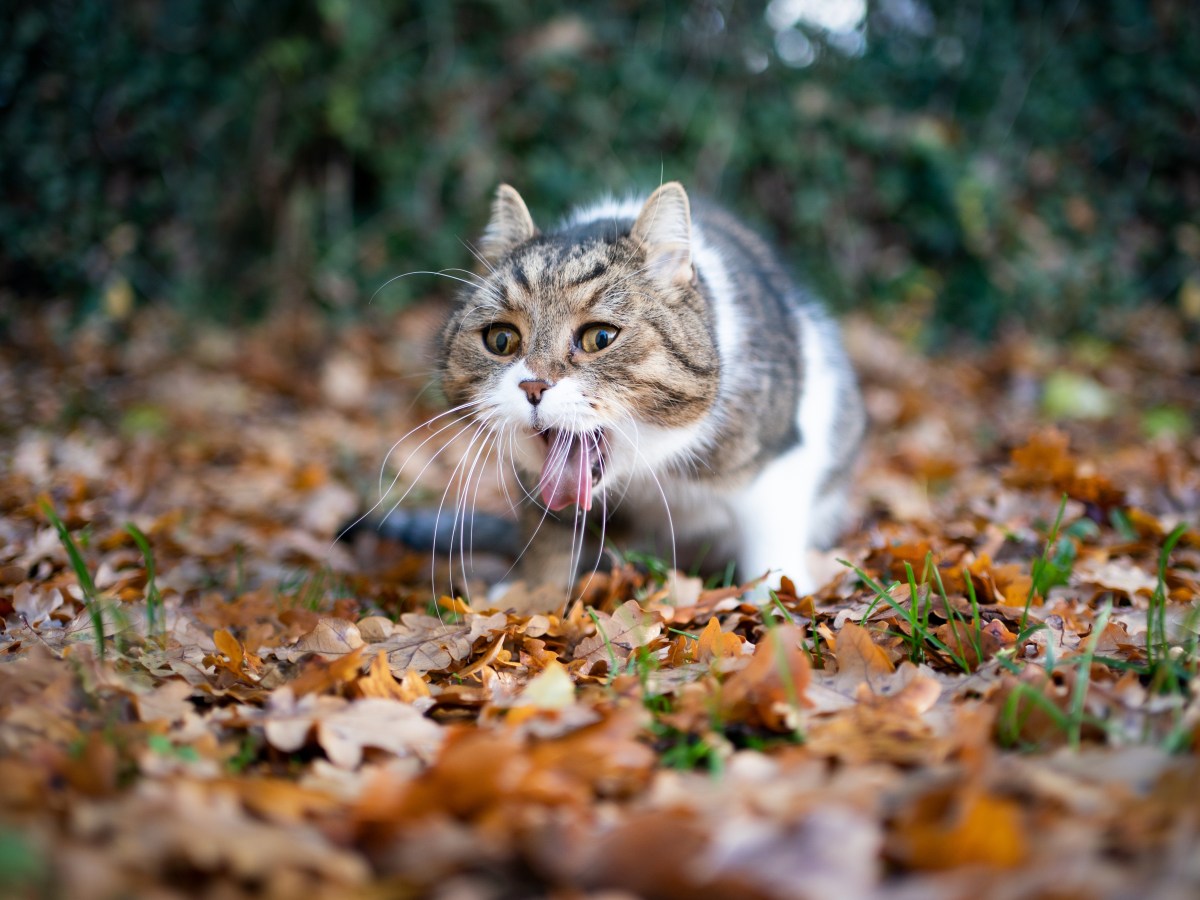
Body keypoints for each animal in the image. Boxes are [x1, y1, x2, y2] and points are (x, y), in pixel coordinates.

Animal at [420, 182, 864, 600]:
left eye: (600, 337)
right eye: (501, 340)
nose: (533, 385)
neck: (646, 468)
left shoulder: (778, 456)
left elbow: (770, 534)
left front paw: (778, 596)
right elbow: (548, 534)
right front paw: (534, 593)